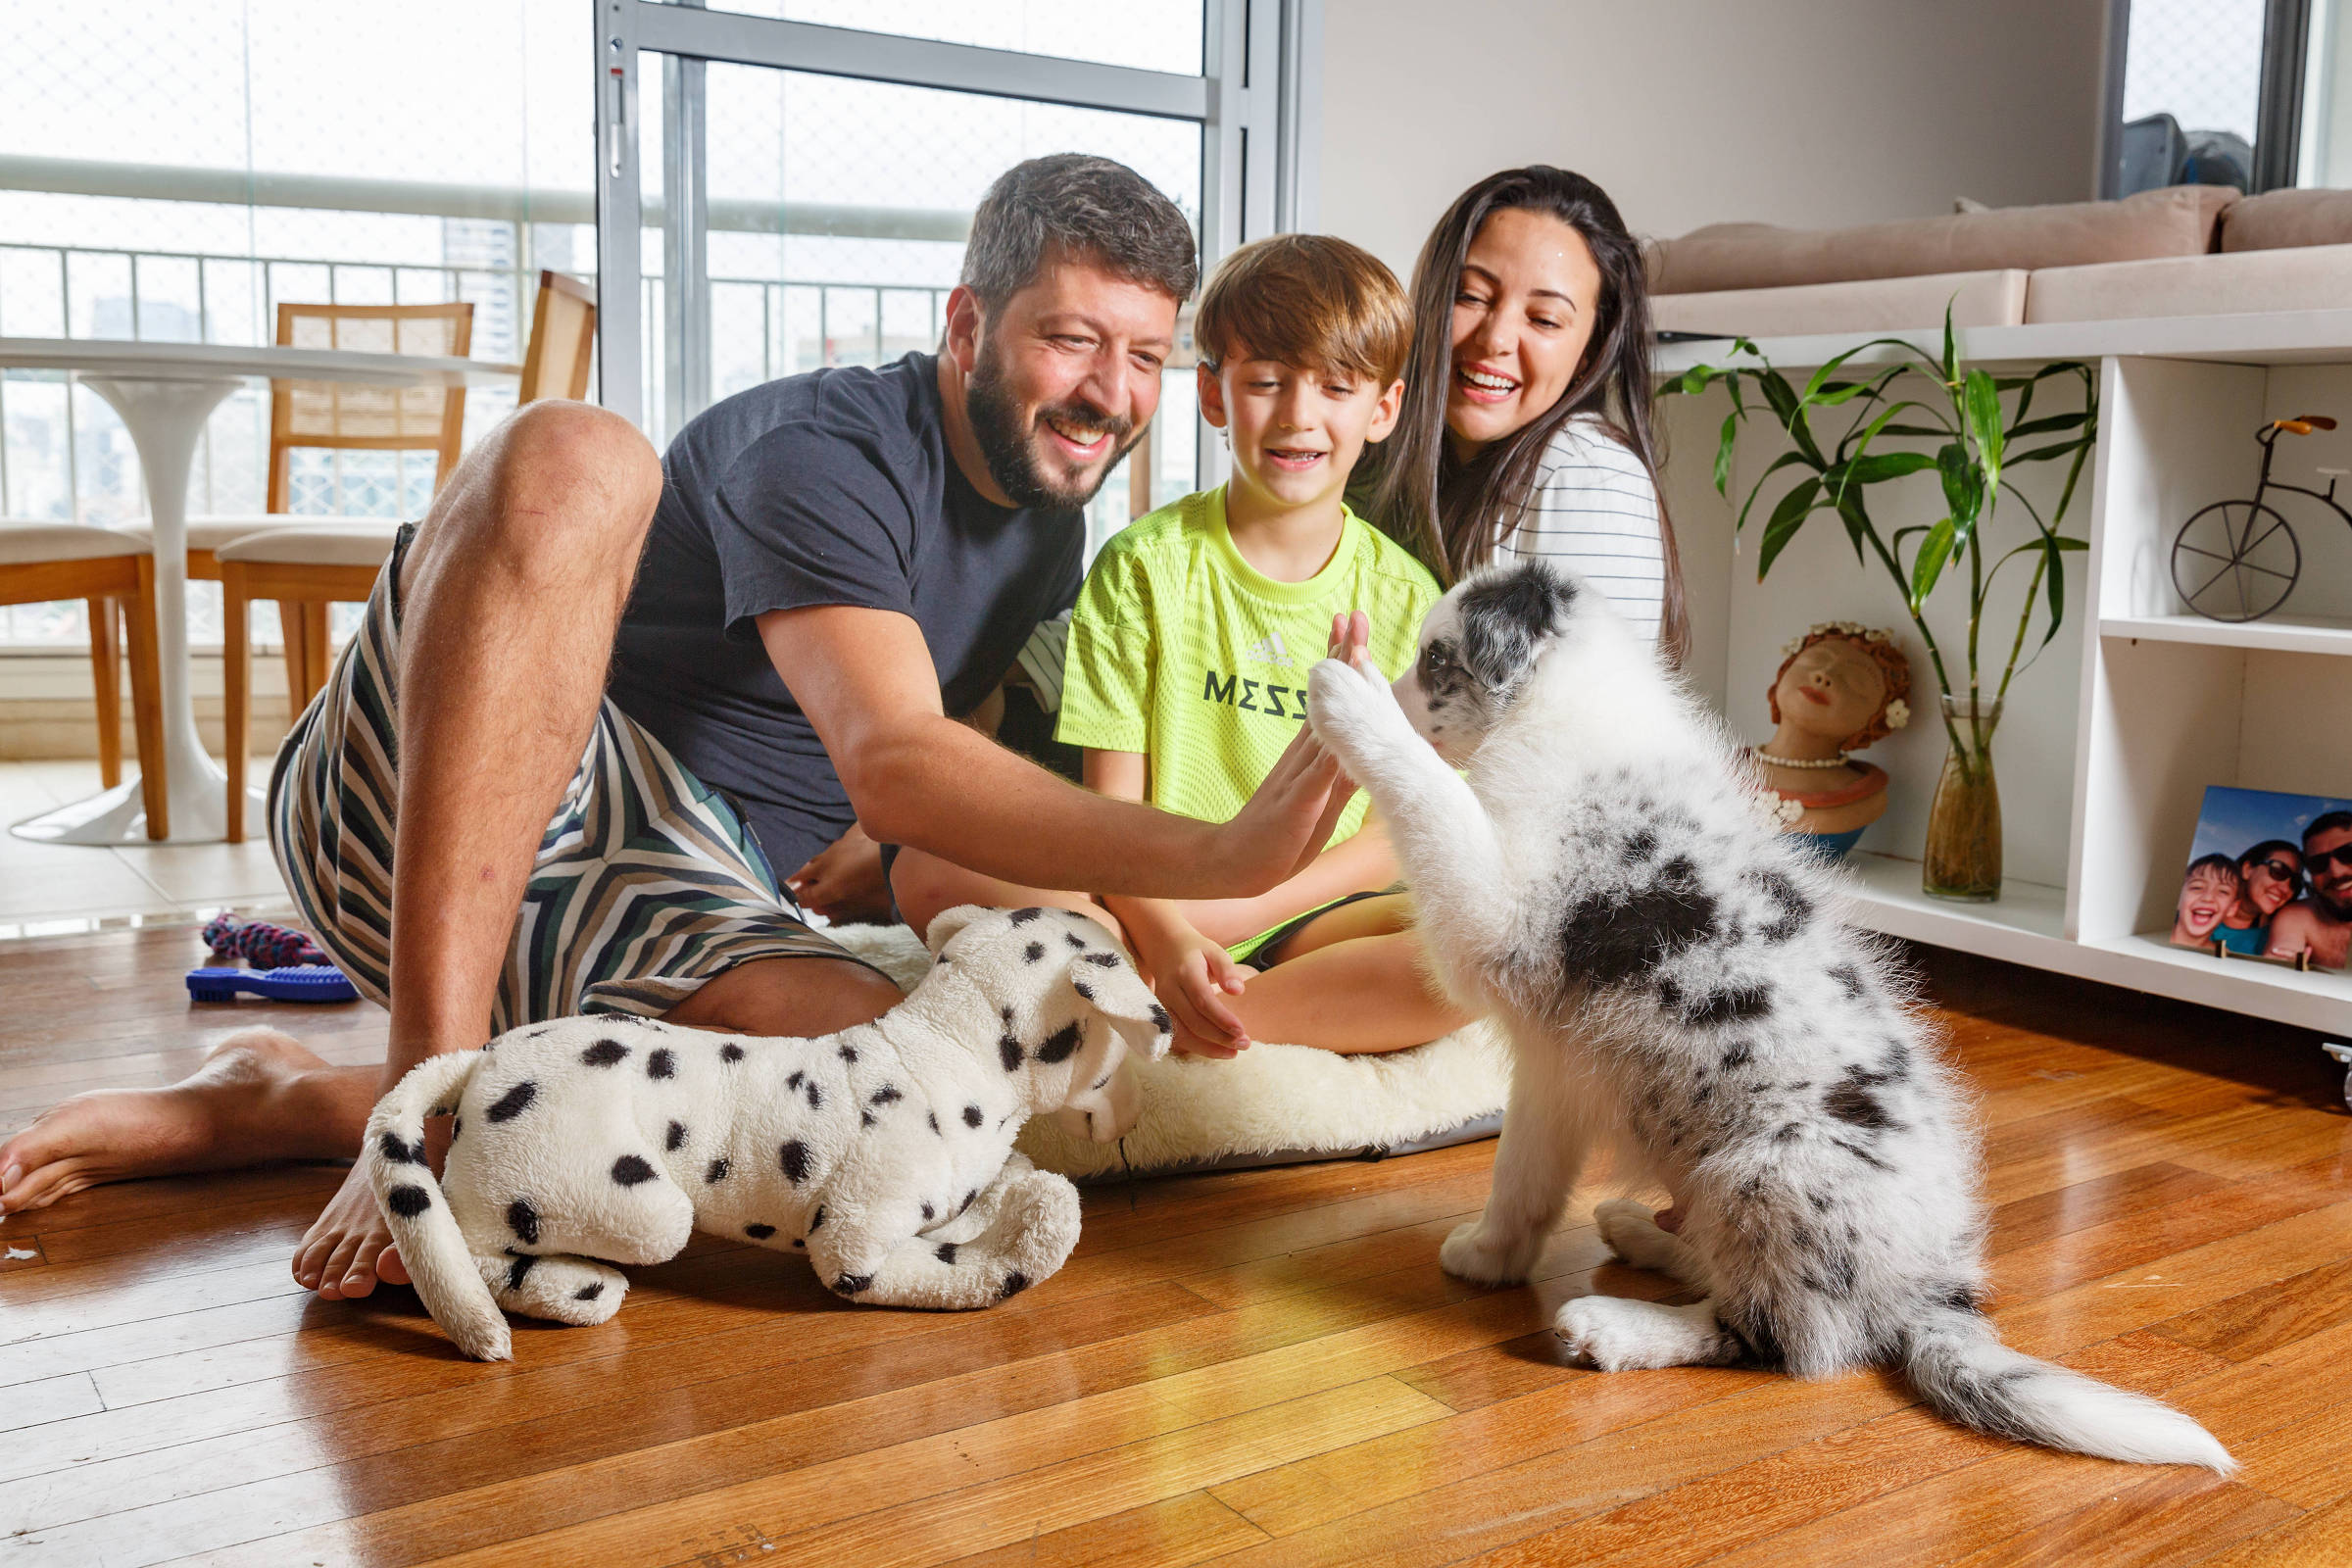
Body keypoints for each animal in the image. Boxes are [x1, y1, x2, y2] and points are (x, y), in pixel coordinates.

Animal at [1317, 562, 2230, 1476]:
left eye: (1435, 659)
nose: (1390, 684)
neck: (1565, 709)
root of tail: (1934, 1289)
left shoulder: (1499, 919)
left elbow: (1435, 800)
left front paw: (1351, 700)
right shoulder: (1552, 1068)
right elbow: (1522, 1181)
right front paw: (1489, 1257)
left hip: (1771, 1168)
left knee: (1783, 1339)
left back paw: (1615, 1326)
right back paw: (1643, 1234)